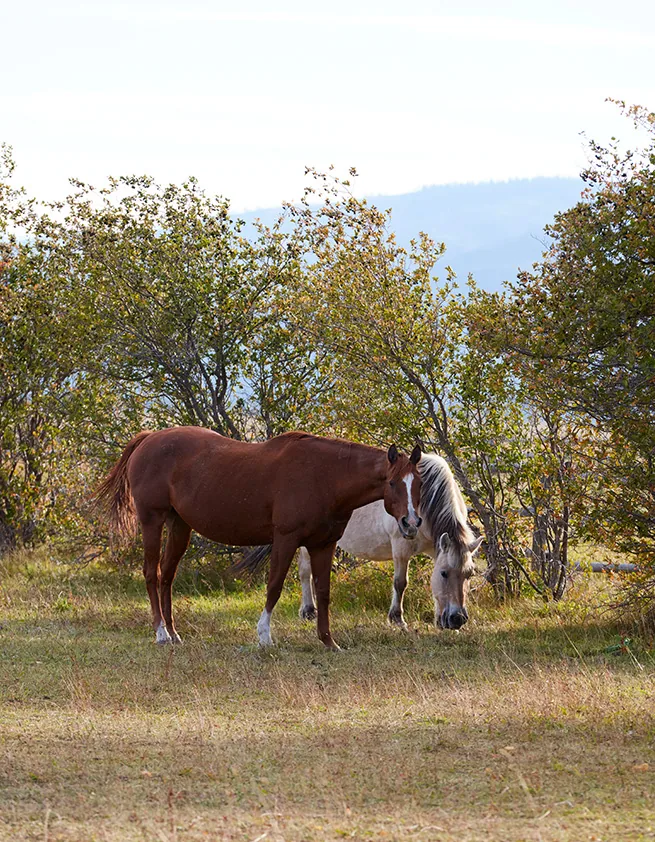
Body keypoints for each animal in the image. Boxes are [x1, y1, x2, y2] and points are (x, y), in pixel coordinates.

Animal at [95, 426, 422, 650]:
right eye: (392, 483)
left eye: (418, 482)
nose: (411, 522)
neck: (325, 476)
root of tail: (149, 438)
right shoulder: (286, 539)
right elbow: (274, 586)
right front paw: (264, 636)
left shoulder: (323, 545)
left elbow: (323, 592)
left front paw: (328, 641)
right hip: (152, 520)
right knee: (152, 573)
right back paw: (161, 632)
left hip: (179, 526)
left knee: (167, 575)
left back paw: (174, 633)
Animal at [297, 453, 482, 630]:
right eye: (444, 573)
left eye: (469, 574)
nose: (457, 619)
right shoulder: (401, 548)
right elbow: (400, 583)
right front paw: (397, 619)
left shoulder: (436, 548)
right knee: (306, 571)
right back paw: (309, 611)